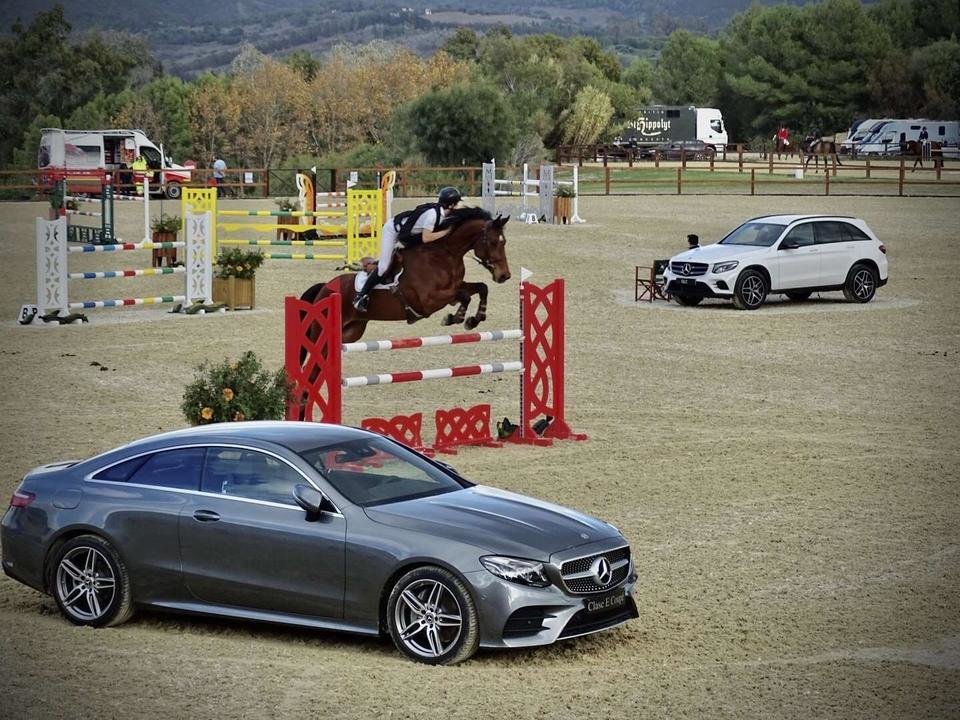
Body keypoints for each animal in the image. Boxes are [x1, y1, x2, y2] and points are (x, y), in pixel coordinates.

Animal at [300, 207, 512, 344]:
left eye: (504, 242)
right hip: (321, 331)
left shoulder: (456, 285)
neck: (446, 254)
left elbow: (481, 288)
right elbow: (464, 296)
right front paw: (455, 318)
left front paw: (475, 319)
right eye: (492, 242)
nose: (505, 276)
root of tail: (325, 287)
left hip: (352, 331)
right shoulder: (428, 300)